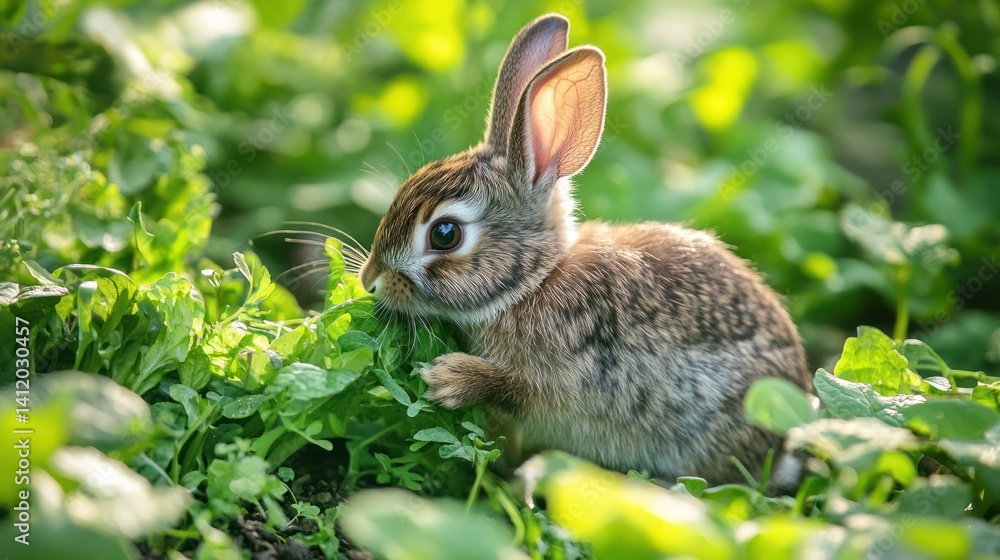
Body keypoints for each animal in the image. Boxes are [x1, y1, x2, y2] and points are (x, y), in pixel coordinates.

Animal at [358, 13, 810, 485]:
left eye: (445, 234)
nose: (369, 280)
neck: (534, 283)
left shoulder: (574, 386)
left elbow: (521, 392)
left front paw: (449, 378)